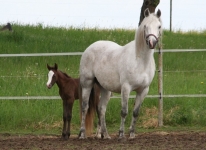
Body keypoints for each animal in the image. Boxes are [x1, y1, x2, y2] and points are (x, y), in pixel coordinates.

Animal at [78, 8, 162, 139]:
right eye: (145, 26)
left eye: (159, 26)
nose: (151, 42)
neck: (140, 61)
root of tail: (90, 48)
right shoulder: (126, 88)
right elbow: (124, 111)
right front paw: (121, 134)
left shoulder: (143, 90)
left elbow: (135, 112)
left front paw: (132, 134)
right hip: (87, 84)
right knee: (85, 108)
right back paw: (82, 134)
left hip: (105, 89)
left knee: (101, 109)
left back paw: (106, 135)